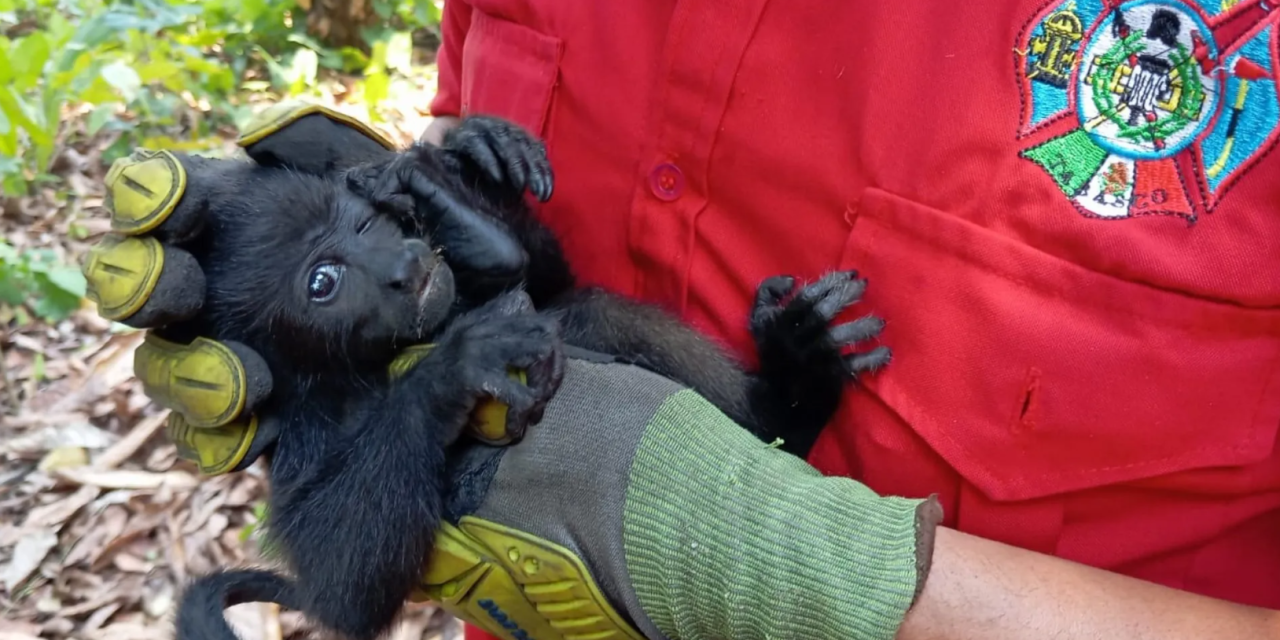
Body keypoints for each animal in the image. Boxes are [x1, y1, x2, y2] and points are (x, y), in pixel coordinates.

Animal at [161, 116, 890, 640]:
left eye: (365, 223)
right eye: (323, 282)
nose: (403, 266)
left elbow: (549, 283)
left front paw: (460, 168)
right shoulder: (310, 423)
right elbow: (344, 588)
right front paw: (454, 368)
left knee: (590, 311)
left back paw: (791, 390)